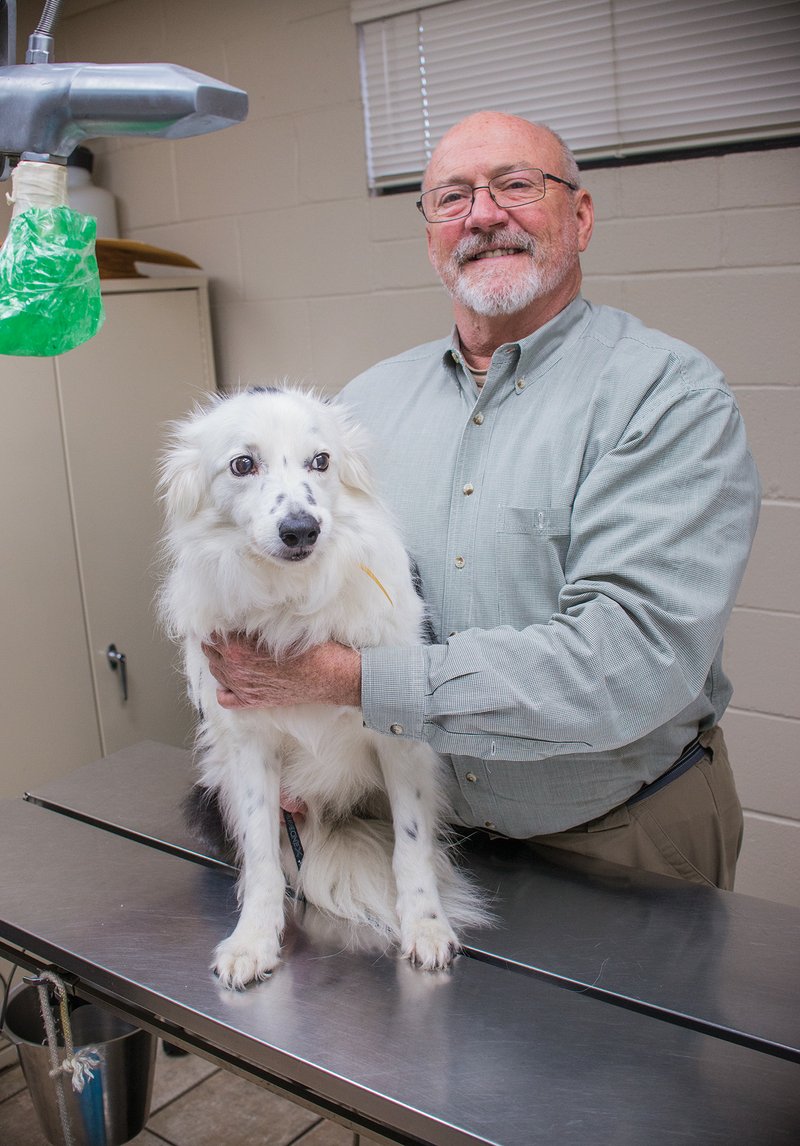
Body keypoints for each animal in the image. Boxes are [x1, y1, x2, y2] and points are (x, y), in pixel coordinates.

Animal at [157, 385, 485, 985]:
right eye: (243, 464)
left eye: (322, 461)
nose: (301, 528)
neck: (291, 597)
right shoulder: (247, 744)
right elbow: (263, 855)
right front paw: (254, 939)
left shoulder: (401, 737)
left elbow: (412, 847)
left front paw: (427, 926)